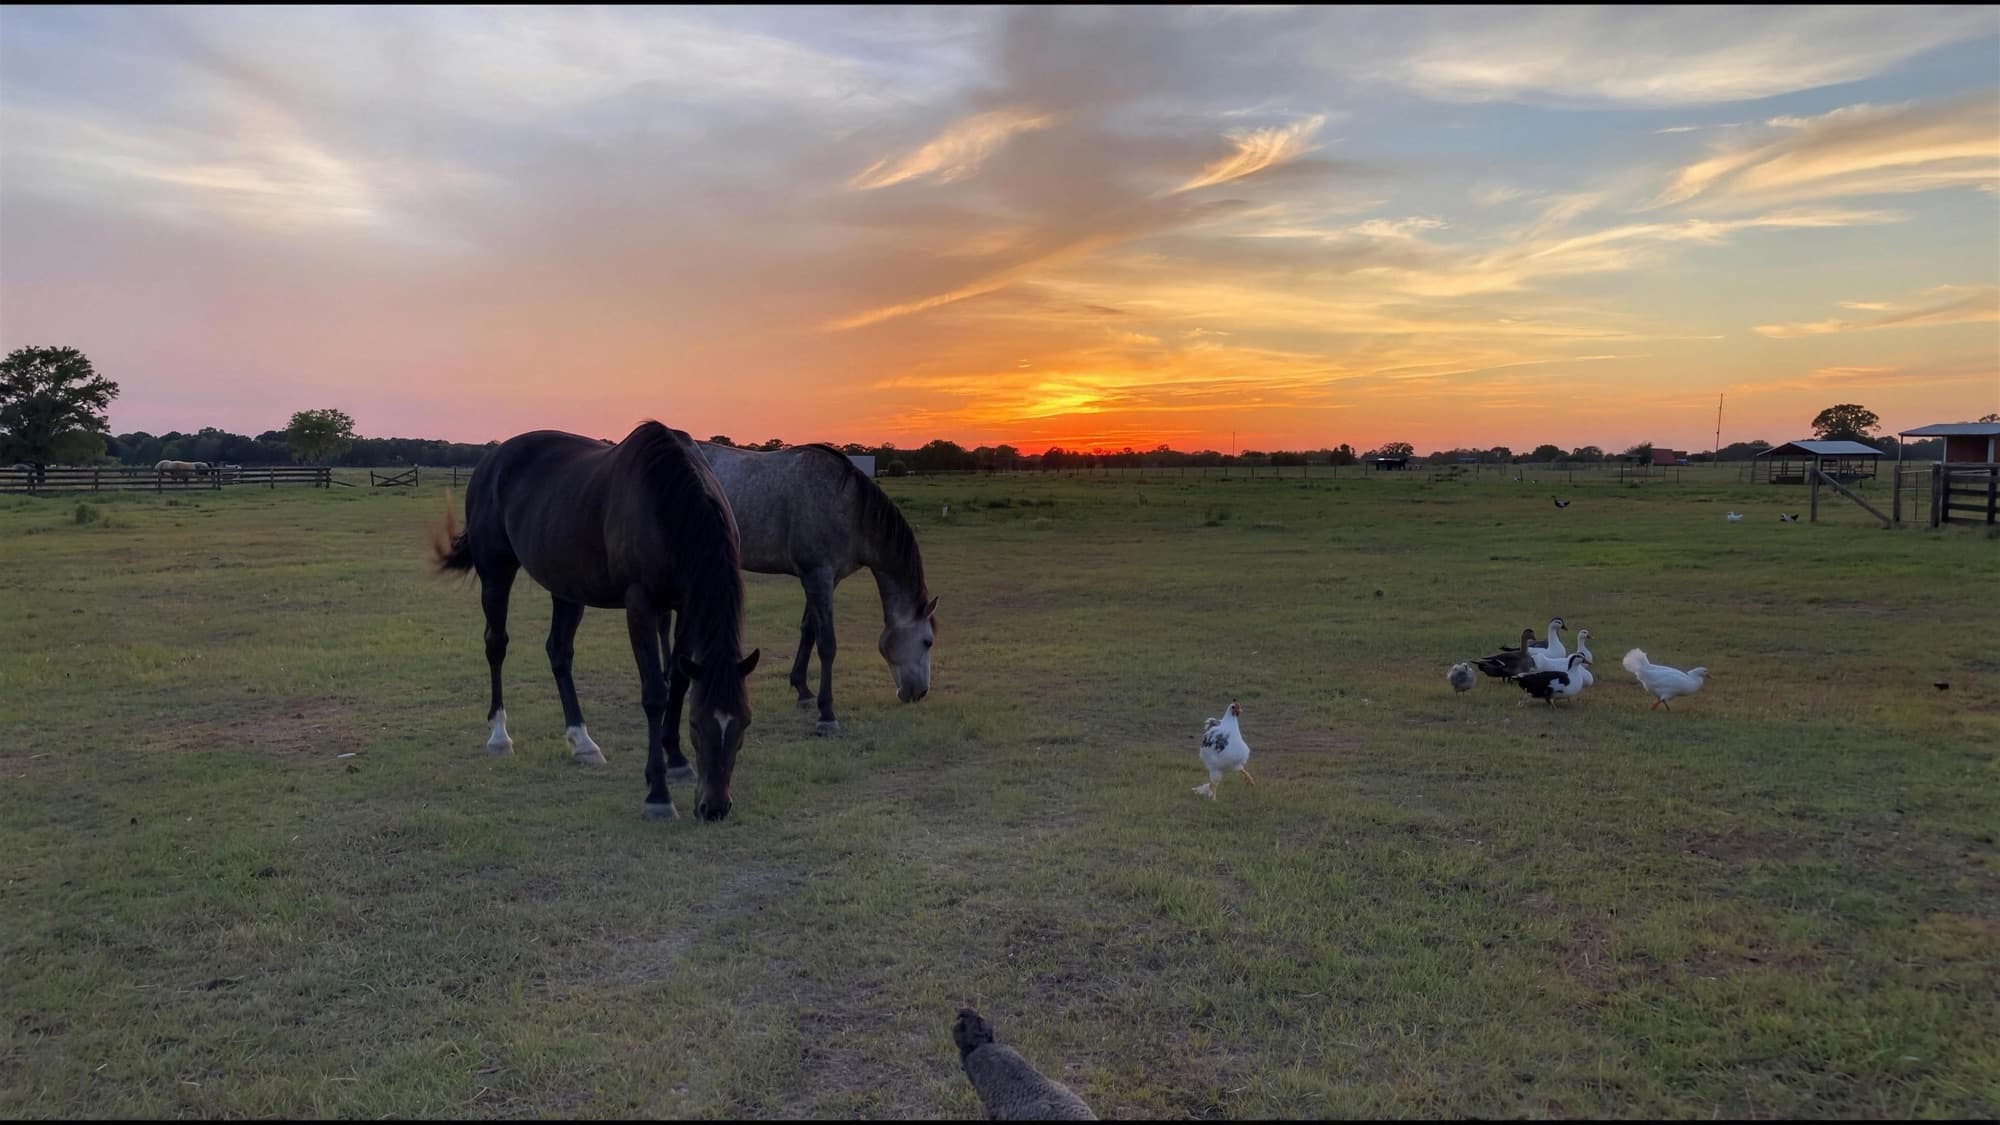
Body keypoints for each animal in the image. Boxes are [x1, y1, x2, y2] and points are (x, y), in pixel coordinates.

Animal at [432, 422, 761, 821]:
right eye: (696, 724)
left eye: (744, 722)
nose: (713, 807)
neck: (668, 503)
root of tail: (490, 461)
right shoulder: (640, 602)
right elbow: (655, 692)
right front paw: (658, 793)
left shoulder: (685, 604)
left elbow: (678, 680)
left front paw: (677, 759)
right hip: (496, 573)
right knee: (496, 645)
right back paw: (499, 736)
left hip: (566, 587)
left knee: (558, 653)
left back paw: (583, 742)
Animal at [697, 442, 935, 735]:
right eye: (927, 641)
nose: (920, 693)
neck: (848, 506)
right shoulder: (817, 575)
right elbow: (826, 644)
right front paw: (827, 714)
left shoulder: (825, 580)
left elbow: (808, 630)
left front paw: (802, 690)